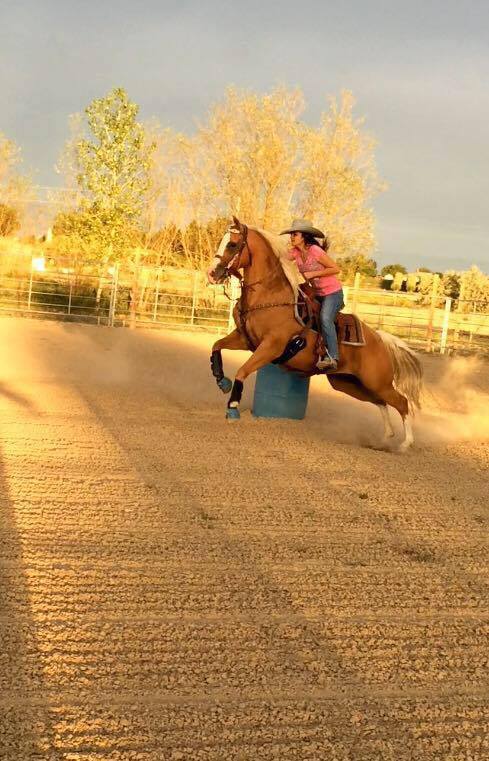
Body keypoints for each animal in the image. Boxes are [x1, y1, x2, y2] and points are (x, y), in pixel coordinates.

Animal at [208, 217, 422, 448]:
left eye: (232, 244)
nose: (211, 273)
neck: (270, 296)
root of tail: (380, 339)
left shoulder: (271, 347)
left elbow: (242, 371)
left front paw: (233, 408)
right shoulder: (245, 339)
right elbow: (216, 346)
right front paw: (222, 381)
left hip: (377, 381)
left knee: (401, 402)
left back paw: (405, 444)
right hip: (348, 383)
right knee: (381, 401)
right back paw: (385, 438)